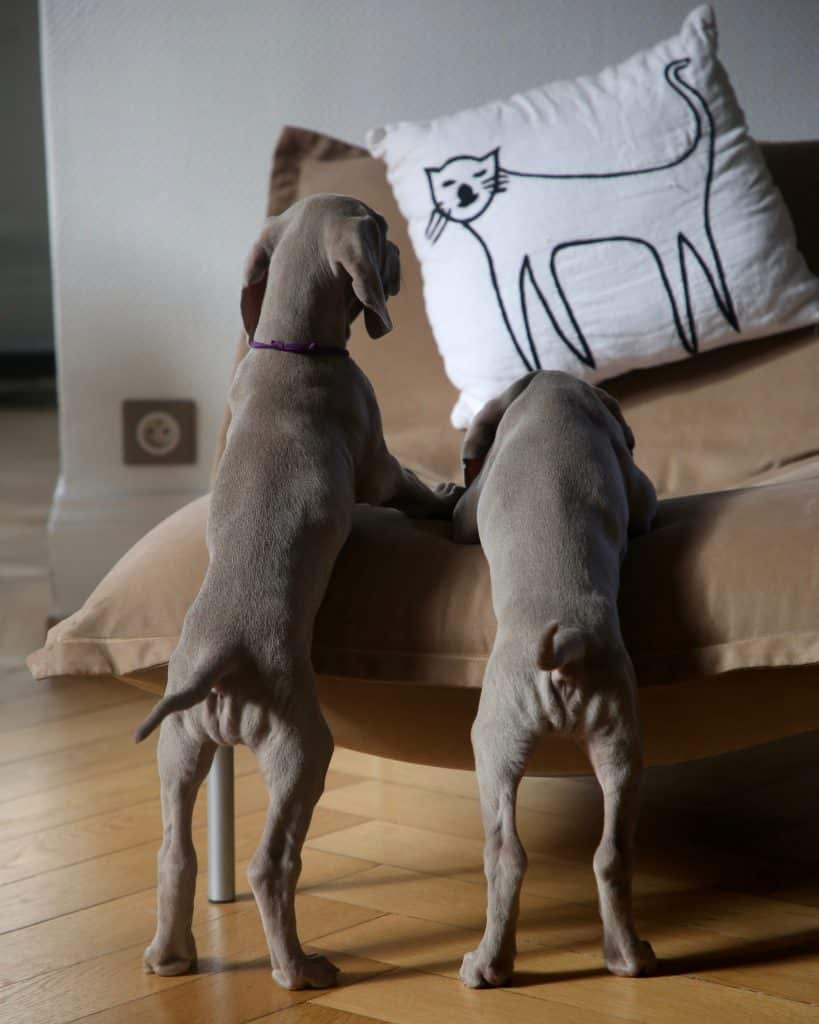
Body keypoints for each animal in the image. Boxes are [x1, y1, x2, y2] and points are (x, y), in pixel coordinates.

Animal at [137, 193, 464, 991]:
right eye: (381, 231)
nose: (403, 254)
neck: (289, 347)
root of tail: (218, 669)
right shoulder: (378, 462)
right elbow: (409, 486)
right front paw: (448, 497)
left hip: (178, 748)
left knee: (175, 853)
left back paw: (170, 957)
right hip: (302, 749)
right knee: (269, 865)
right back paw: (299, 969)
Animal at [454, 368, 659, 983]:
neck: (556, 392)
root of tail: (567, 641)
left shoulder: (472, 501)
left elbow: (460, 511)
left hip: (492, 741)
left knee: (505, 855)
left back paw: (487, 966)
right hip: (620, 739)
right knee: (613, 854)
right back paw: (628, 957)